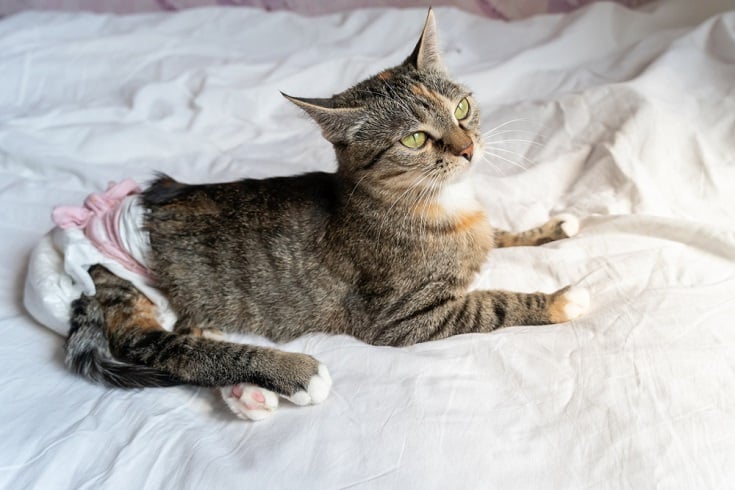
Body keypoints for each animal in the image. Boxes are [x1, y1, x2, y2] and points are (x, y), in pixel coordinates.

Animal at [64, 8, 592, 422]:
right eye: (415, 138)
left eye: (461, 107)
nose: (467, 149)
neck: (437, 200)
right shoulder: (401, 320)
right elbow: (490, 303)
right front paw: (559, 300)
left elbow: (498, 235)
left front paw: (550, 228)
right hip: (132, 291)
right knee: (164, 350)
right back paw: (291, 374)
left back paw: (247, 393)